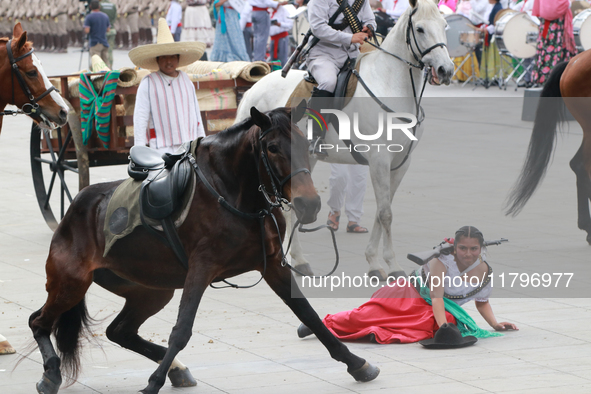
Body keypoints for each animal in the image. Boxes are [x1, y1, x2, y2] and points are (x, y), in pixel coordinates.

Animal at [236, 0, 454, 280]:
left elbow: (383, 211)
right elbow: (386, 213)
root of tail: (255, 86)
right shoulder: (379, 160)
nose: (445, 70)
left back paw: (297, 259)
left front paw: (374, 261)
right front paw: (390, 264)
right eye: (420, 29)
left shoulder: (400, 163)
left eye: (444, 25)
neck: (390, 84)